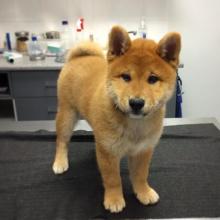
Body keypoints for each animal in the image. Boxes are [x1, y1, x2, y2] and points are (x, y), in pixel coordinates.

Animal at [52, 25, 181, 213]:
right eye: (126, 77)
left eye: (152, 79)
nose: (136, 103)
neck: (135, 125)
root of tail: (80, 57)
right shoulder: (109, 153)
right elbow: (113, 179)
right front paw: (114, 199)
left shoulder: (143, 150)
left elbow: (141, 175)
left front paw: (143, 192)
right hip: (67, 114)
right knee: (62, 141)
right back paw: (60, 162)